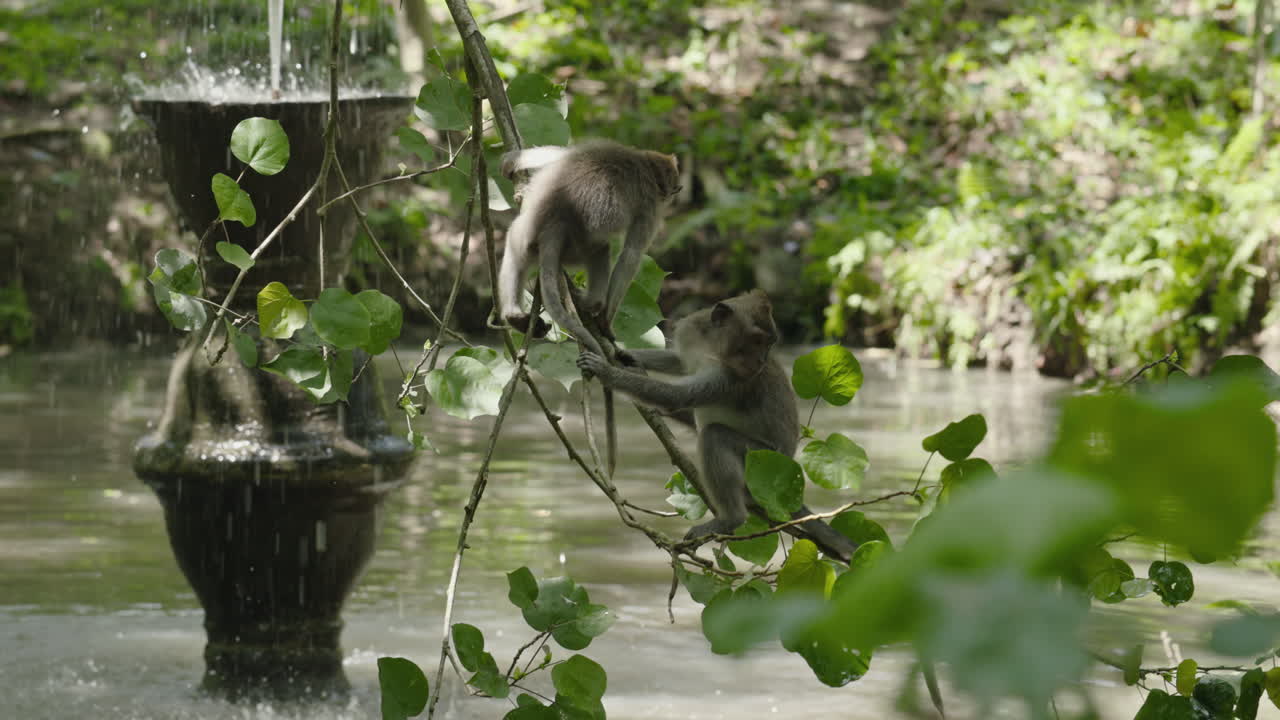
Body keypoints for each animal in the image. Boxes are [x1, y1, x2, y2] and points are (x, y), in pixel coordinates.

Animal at [497, 140, 681, 355]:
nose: (674, 194)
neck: (645, 165)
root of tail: (555, 220)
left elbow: (561, 153)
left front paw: (510, 161)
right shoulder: (650, 206)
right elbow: (631, 256)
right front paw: (605, 321)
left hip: (526, 234)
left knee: (513, 242)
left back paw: (513, 316)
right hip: (575, 250)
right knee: (602, 249)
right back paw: (593, 303)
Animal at [575, 290, 858, 563]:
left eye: (769, 343)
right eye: (757, 341)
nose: (760, 362)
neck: (712, 347)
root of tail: (787, 489)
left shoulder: (732, 378)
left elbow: (678, 396)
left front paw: (607, 372)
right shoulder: (691, 334)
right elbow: (679, 362)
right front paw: (627, 354)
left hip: (762, 463)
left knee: (715, 435)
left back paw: (730, 519)